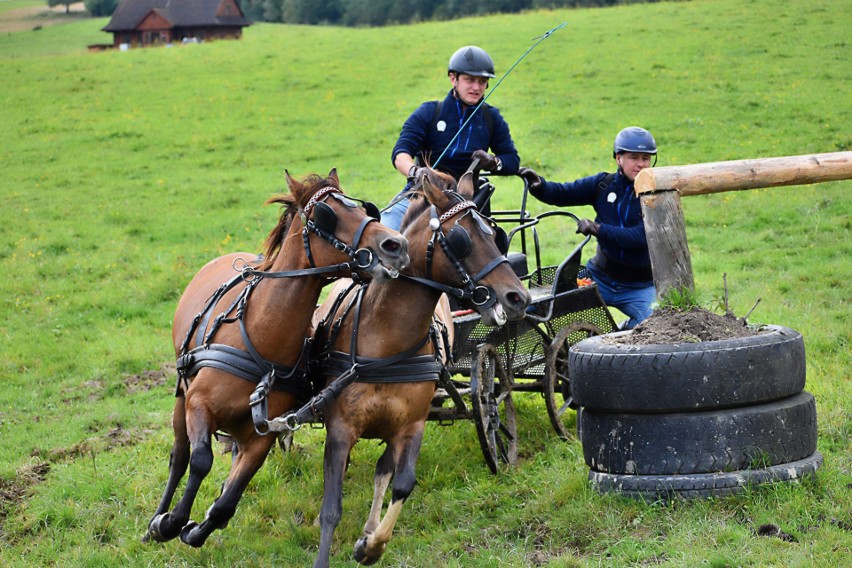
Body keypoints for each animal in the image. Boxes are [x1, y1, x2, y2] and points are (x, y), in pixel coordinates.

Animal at [143, 171, 410, 548]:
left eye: (364, 209)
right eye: (326, 215)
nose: (396, 245)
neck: (262, 338)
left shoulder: (263, 434)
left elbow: (227, 503)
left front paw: (197, 528)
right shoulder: (198, 403)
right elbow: (200, 460)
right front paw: (170, 522)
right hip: (182, 391)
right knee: (180, 456)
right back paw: (155, 521)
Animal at [306, 168, 532, 568]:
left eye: (496, 235)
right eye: (461, 239)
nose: (518, 297)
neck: (386, 343)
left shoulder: (411, 425)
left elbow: (402, 483)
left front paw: (371, 544)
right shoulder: (341, 427)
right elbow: (332, 506)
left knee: (384, 468)